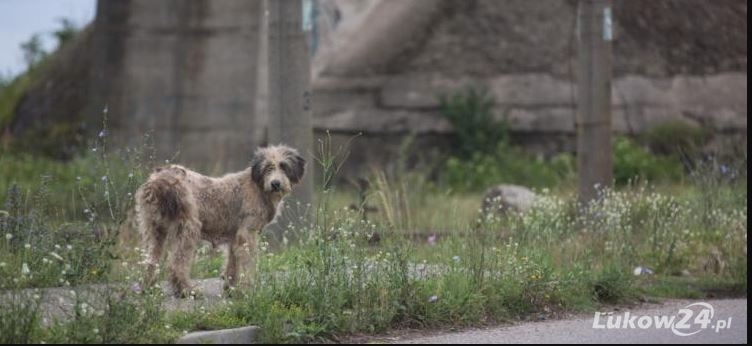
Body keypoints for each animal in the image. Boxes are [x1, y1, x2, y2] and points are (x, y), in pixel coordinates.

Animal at [134, 145, 304, 296]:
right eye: (268, 167)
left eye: (284, 167)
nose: (275, 184)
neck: (258, 185)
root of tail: (160, 179)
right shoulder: (247, 234)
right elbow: (248, 264)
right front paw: (247, 290)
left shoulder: (236, 237)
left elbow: (233, 264)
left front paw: (231, 288)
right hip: (189, 228)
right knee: (176, 264)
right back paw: (187, 290)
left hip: (155, 230)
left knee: (150, 261)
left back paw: (149, 288)